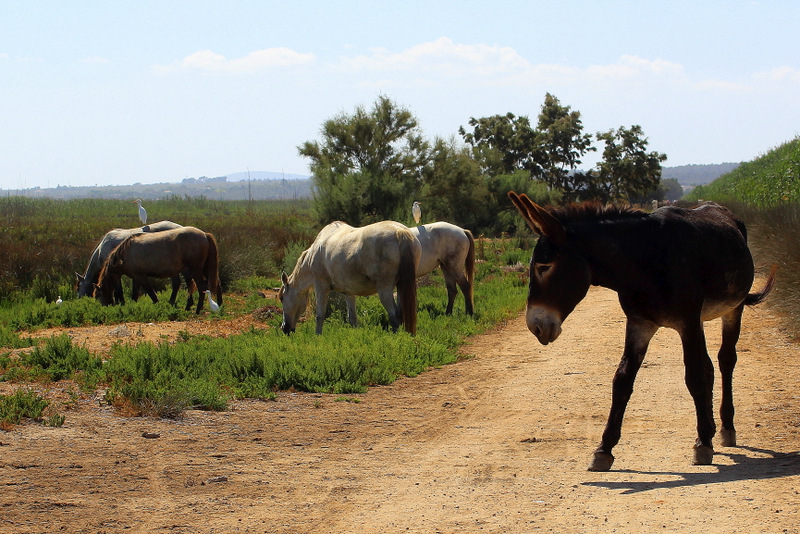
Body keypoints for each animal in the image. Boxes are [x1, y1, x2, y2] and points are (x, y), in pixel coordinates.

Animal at [94, 227, 222, 314]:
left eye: (98, 296)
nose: (105, 307)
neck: (125, 254)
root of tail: (204, 234)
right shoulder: (135, 277)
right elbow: (135, 293)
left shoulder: (141, 276)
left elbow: (151, 293)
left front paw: (158, 306)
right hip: (204, 269)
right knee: (215, 283)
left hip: (195, 270)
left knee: (201, 287)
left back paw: (197, 309)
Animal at [280, 221, 422, 336]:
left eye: (281, 298)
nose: (284, 328)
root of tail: (400, 232)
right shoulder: (348, 292)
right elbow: (352, 318)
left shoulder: (321, 287)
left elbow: (320, 315)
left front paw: (317, 336)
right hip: (401, 286)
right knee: (402, 314)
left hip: (384, 290)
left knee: (395, 316)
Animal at [510, 193, 780, 474]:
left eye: (544, 266)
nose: (535, 326)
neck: (646, 261)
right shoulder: (640, 325)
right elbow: (622, 380)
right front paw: (604, 449)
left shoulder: (687, 322)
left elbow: (694, 377)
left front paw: (702, 444)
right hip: (701, 320)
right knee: (708, 365)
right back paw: (712, 428)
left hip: (733, 309)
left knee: (725, 359)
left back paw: (726, 428)